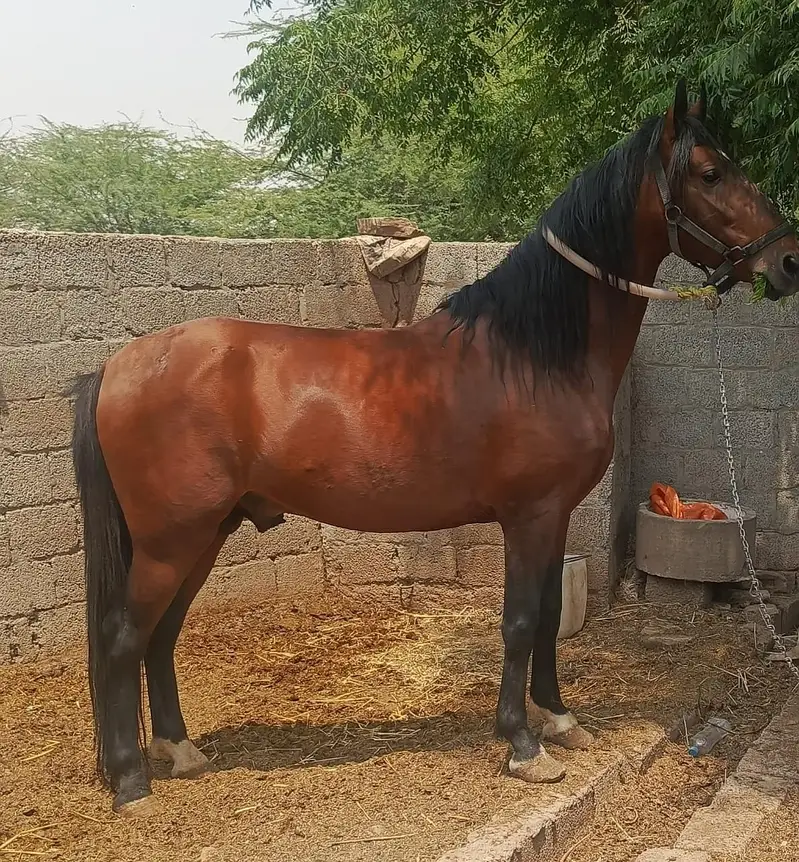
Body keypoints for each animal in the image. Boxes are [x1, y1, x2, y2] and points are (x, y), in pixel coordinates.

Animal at [68, 80, 799, 815]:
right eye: (710, 172)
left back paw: (180, 751)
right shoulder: (529, 516)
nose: (788, 259)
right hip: (172, 540)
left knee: (160, 636)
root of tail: (118, 365)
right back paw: (131, 783)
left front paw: (559, 720)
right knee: (122, 639)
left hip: (206, 533)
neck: (532, 353)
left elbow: (545, 622)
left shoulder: (555, 516)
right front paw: (522, 746)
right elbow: (518, 622)